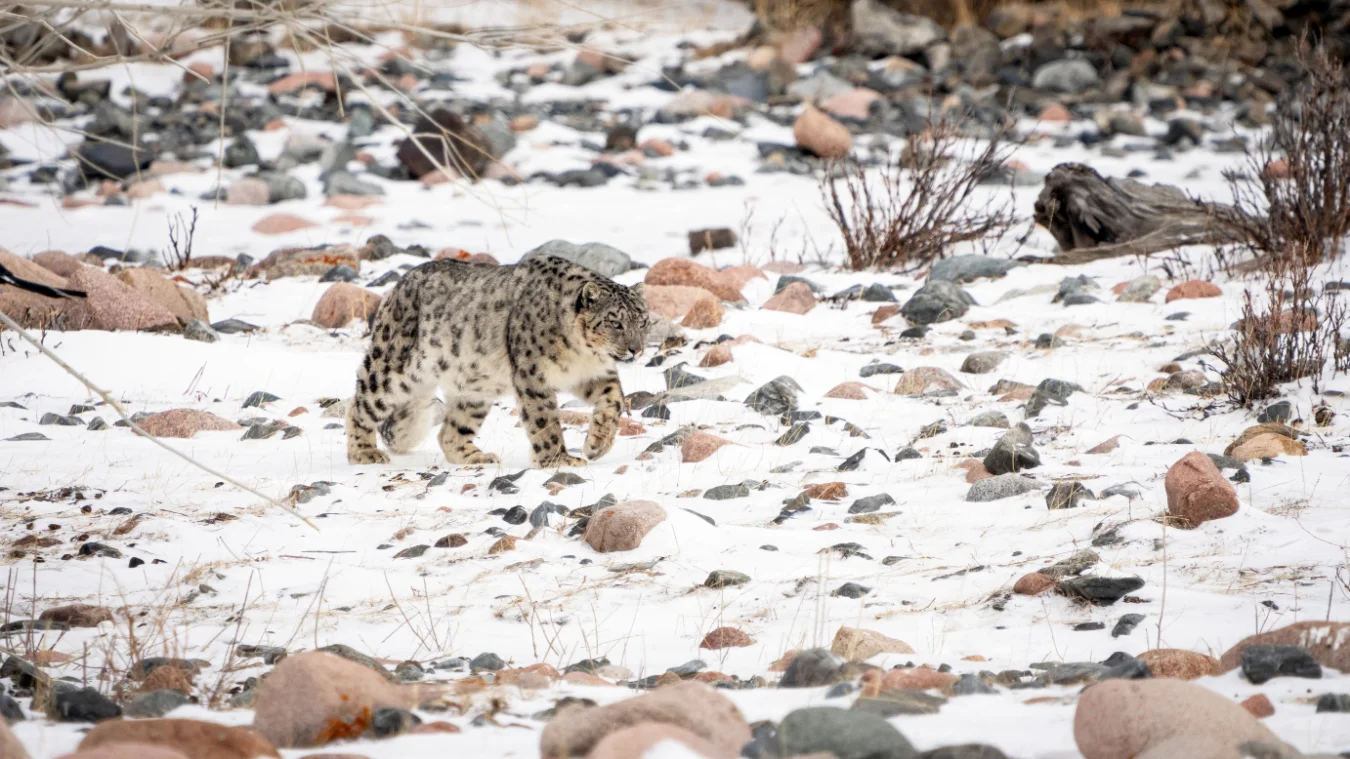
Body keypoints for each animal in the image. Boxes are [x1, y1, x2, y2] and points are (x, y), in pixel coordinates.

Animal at [345, 255, 650, 468]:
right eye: (615, 323)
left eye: (643, 321)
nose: (636, 350)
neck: (583, 355)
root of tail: (398, 286)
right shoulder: (533, 374)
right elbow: (544, 420)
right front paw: (558, 460)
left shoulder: (592, 374)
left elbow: (614, 399)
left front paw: (597, 444)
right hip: (392, 369)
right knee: (360, 404)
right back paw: (364, 452)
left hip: (475, 390)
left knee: (450, 432)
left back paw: (476, 457)